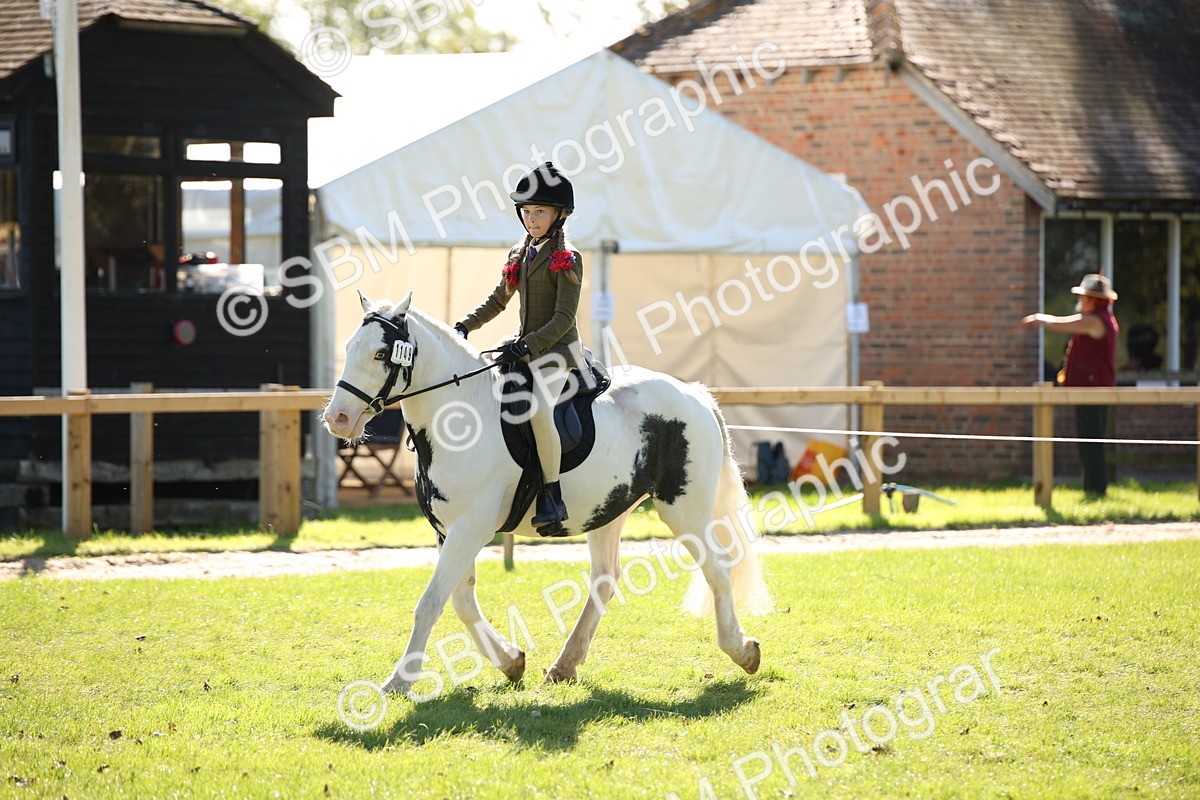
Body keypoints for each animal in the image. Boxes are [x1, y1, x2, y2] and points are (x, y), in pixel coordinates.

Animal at [322, 292, 770, 696]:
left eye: (381, 354)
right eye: (348, 348)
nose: (337, 418)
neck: (459, 412)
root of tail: (694, 394)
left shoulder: (470, 529)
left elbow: (431, 602)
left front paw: (398, 682)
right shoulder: (448, 530)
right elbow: (461, 602)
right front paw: (510, 661)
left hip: (684, 508)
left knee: (716, 570)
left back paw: (743, 650)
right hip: (609, 509)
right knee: (605, 579)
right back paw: (564, 665)